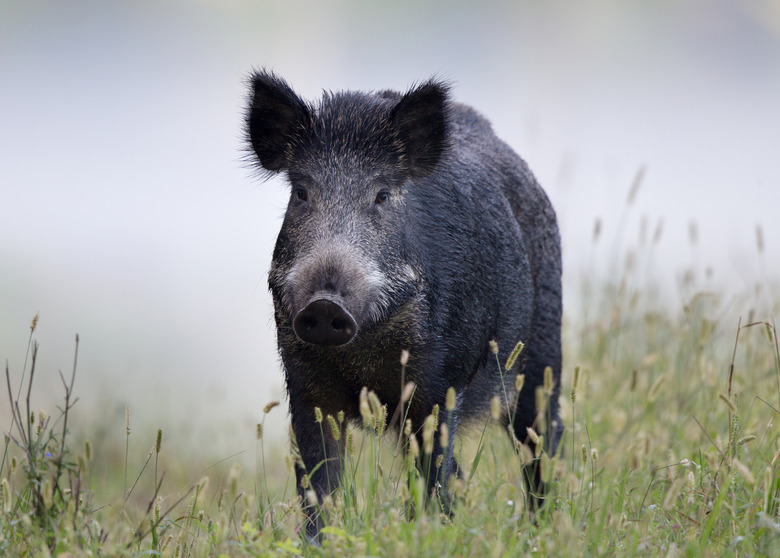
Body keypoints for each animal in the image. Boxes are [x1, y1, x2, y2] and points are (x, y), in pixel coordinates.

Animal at [245, 70, 563, 540]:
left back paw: (545, 527)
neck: (363, 357)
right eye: (301, 192)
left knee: (542, 445)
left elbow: (433, 471)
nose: (325, 305)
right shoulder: (305, 384)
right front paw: (319, 541)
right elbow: (319, 480)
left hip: (543, 352)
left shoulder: (438, 384)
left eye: (381, 194)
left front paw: (429, 533)